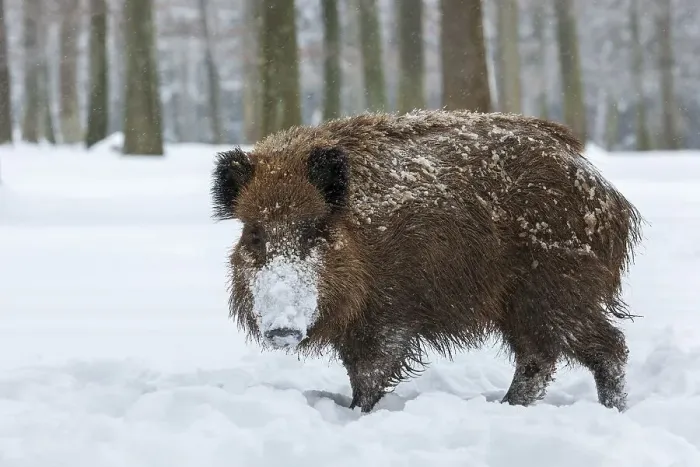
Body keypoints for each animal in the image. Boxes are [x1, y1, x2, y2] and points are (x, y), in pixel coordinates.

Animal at [211, 109, 643, 413]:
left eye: (316, 229)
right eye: (254, 233)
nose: (281, 329)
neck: (363, 240)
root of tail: (609, 197)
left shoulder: (391, 312)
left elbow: (371, 373)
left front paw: (356, 415)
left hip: (558, 290)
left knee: (608, 346)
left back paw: (612, 410)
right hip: (522, 304)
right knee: (539, 357)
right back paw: (509, 407)